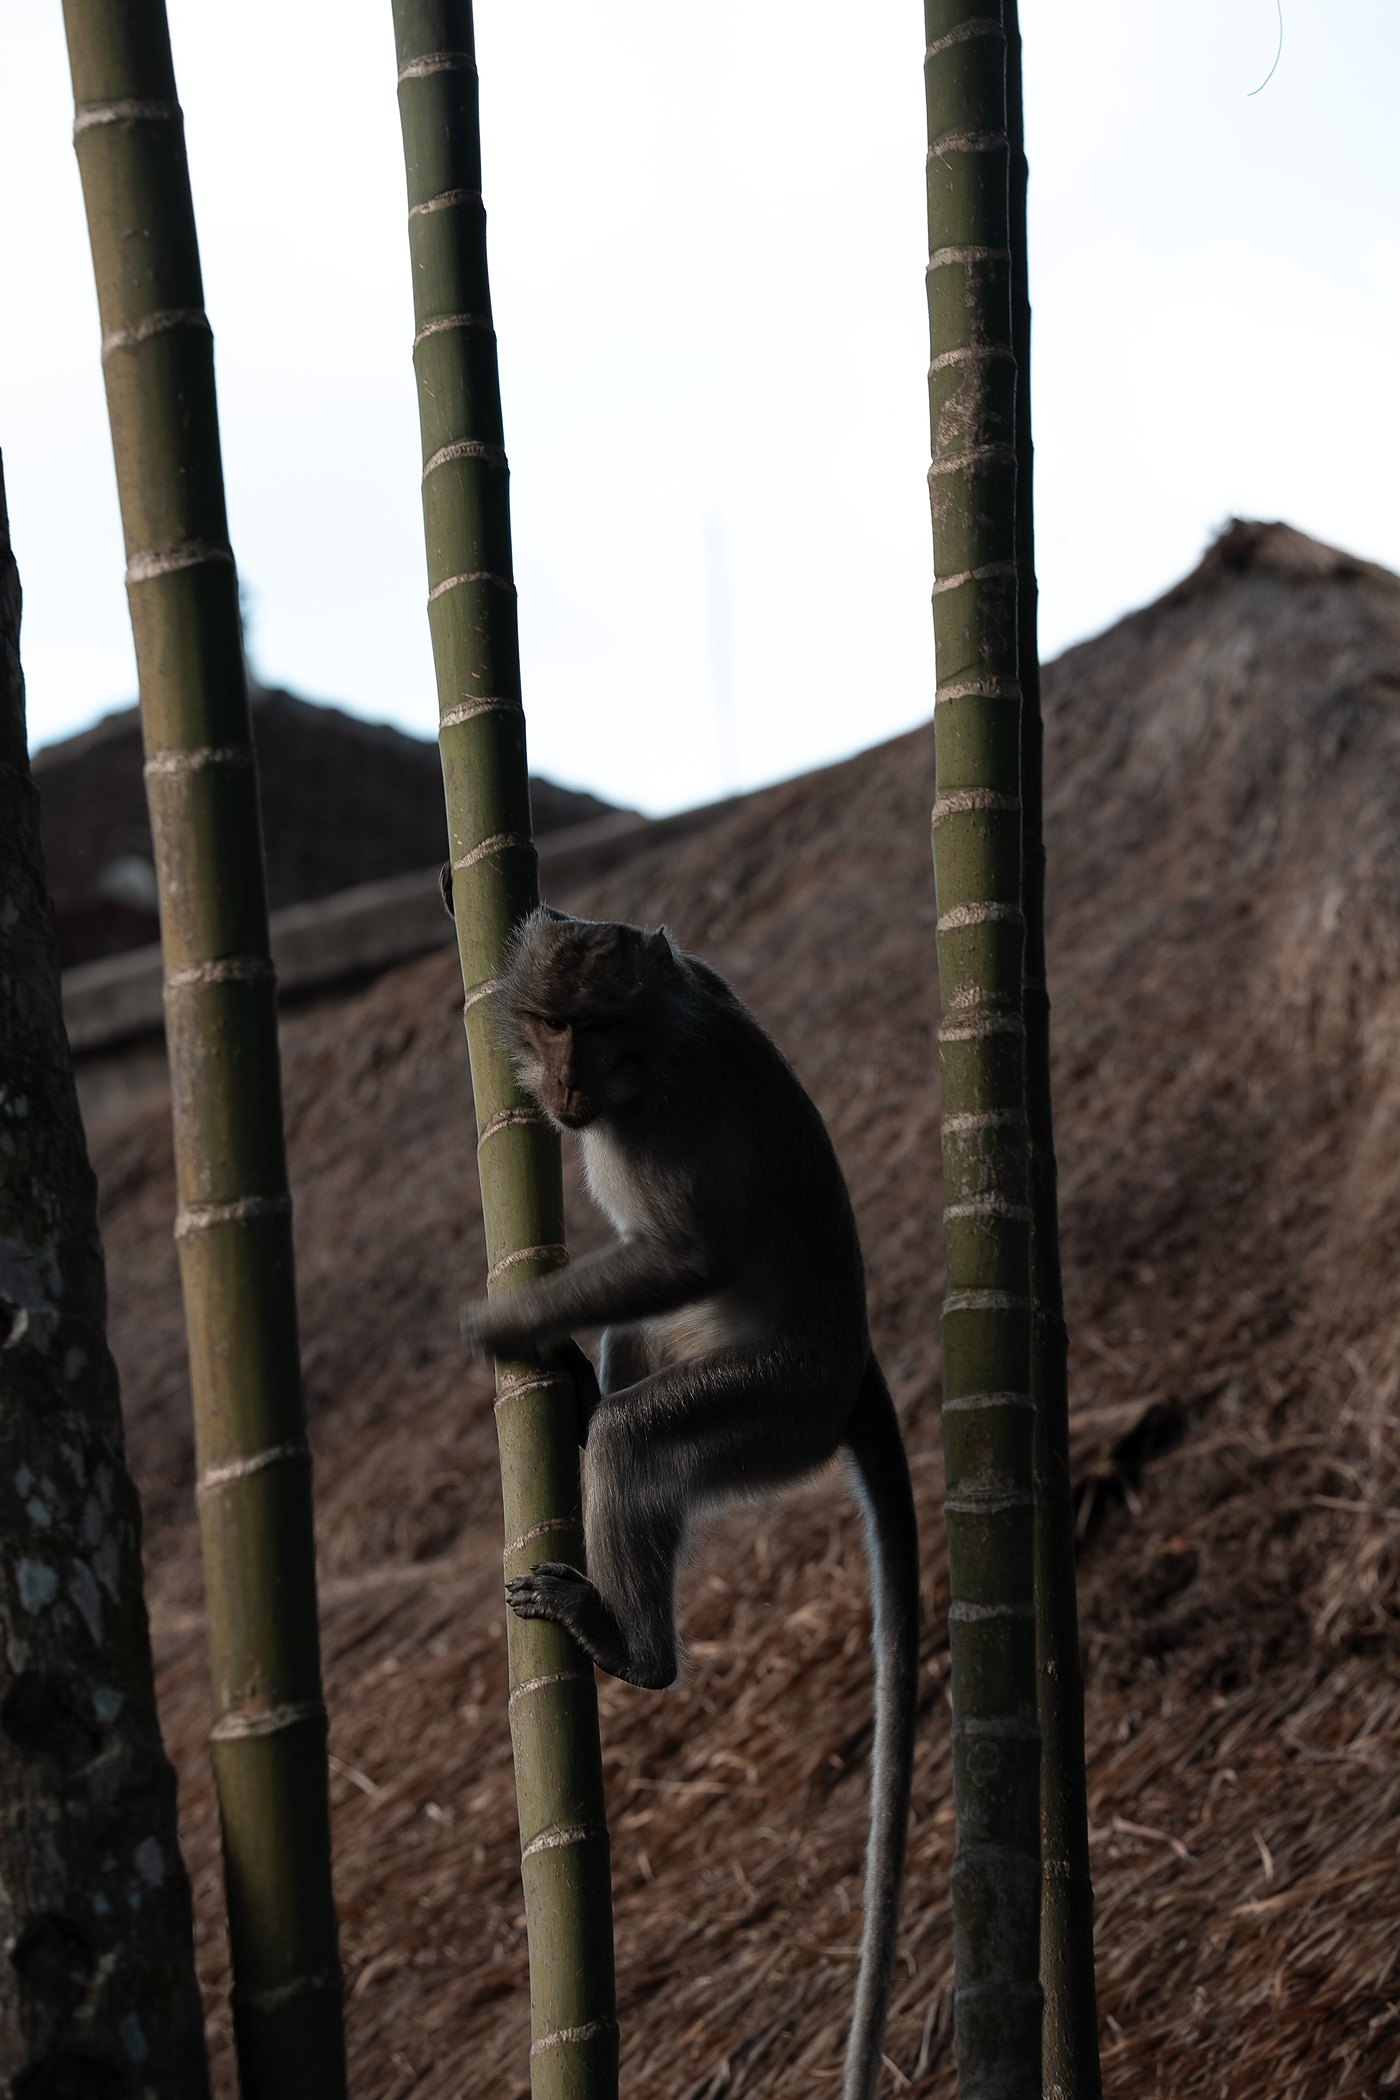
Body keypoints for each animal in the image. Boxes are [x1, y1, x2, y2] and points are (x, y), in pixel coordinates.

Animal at [459, 908, 919, 2100]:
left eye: (591, 1028)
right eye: (549, 1022)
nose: (562, 1081)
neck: (645, 1061)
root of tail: (851, 1370)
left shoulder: (666, 1126)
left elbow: (687, 1253)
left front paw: (497, 1324)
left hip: (770, 1410)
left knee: (642, 1434)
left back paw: (630, 1647)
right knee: (633, 1354)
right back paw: (580, 1402)